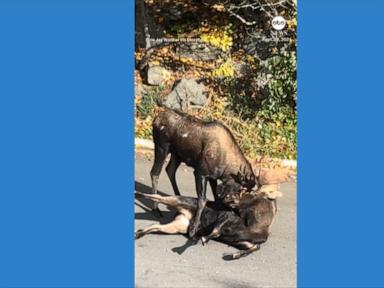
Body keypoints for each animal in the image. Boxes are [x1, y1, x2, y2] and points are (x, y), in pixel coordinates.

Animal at [135, 183, 280, 260]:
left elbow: (255, 247)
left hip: (176, 227)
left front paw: (236, 254)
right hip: (178, 200)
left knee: (154, 225)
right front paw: (201, 239)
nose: (228, 199)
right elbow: (215, 231)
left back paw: (139, 233)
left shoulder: (240, 241)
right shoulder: (224, 219)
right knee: (157, 196)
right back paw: (137, 194)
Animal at [152, 107, 256, 237]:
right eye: (242, 189)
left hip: (177, 154)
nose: (237, 206)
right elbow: (202, 199)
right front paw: (193, 228)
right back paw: (156, 208)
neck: (226, 170)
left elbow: (216, 197)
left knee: (170, 170)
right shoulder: (200, 173)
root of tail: (155, 120)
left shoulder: (212, 177)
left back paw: (177, 196)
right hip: (162, 147)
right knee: (155, 173)